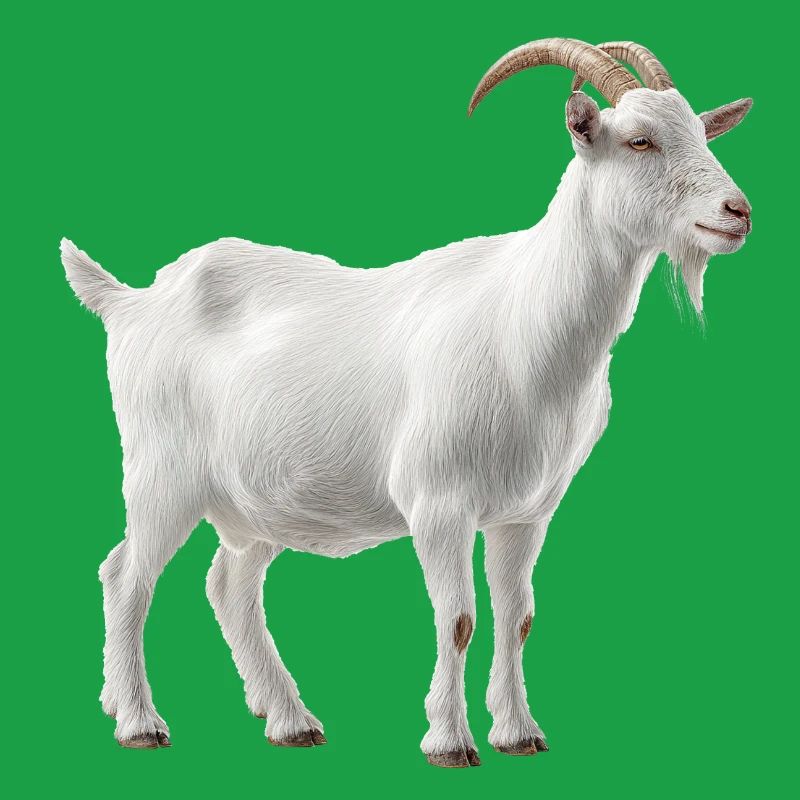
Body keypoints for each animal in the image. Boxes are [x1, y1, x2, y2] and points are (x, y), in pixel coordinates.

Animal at [62, 38, 752, 767]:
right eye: (640, 140)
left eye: (702, 132)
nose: (737, 212)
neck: (523, 324)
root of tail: (130, 302)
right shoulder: (438, 501)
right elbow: (458, 618)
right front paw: (449, 741)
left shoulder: (526, 512)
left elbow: (518, 616)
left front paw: (518, 732)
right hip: (161, 472)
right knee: (126, 576)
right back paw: (138, 720)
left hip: (253, 501)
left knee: (229, 584)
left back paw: (289, 720)